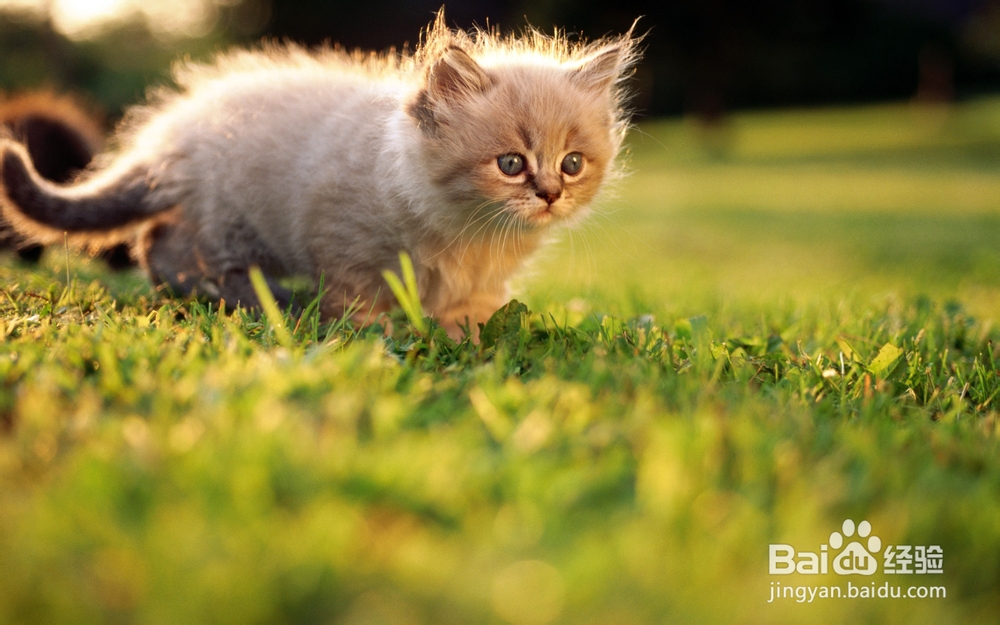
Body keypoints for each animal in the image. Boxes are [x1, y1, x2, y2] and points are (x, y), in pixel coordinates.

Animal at [0, 9, 640, 338]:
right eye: (510, 164)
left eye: (572, 164)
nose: (550, 194)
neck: (469, 231)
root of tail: (171, 136)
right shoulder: (342, 240)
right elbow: (361, 305)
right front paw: (380, 337)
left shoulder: (479, 279)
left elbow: (473, 312)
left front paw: (469, 336)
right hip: (232, 223)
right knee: (166, 253)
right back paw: (268, 302)